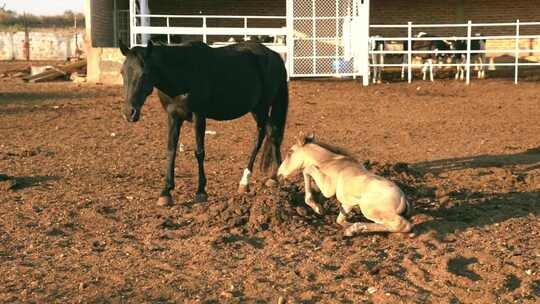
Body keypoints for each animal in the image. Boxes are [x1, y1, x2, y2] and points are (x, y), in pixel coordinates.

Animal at [118, 40, 286, 205]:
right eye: (122, 72)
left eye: (144, 74)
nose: (129, 112)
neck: (182, 73)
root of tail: (275, 56)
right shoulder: (173, 117)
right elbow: (171, 150)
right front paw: (166, 192)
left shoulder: (199, 116)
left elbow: (199, 152)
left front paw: (201, 192)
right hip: (256, 109)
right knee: (272, 133)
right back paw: (275, 176)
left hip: (262, 107)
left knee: (263, 136)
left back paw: (249, 181)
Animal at [276, 133, 412, 235]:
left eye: (289, 152)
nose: (278, 174)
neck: (330, 162)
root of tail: (403, 199)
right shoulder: (347, 204)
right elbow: (340, 220)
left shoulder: (328, 189)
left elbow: (307, 169)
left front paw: (317, 208)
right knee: (385, 224)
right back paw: (354, 229)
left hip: (369, 209)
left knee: (402, 225)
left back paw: (354, 229)